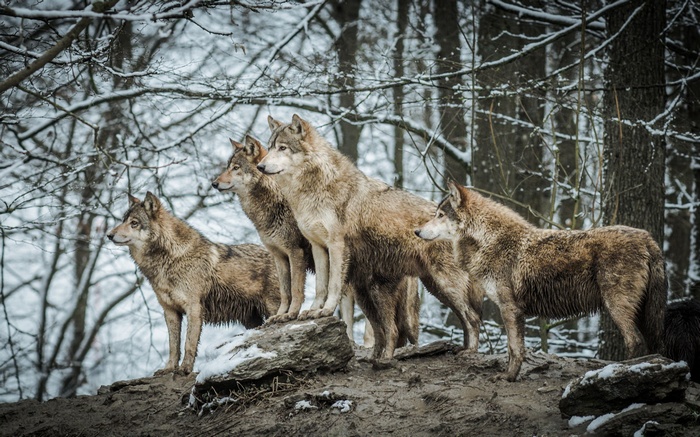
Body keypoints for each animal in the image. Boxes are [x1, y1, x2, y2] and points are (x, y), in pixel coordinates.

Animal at [107, 192, 280, 375]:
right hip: (250, 320)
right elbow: (173, 346)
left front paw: (185, 369)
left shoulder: (194, 308)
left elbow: (189, 343)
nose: (109, 235)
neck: (170, 259)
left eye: (134, 223)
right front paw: (169, 368)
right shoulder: (170, 312)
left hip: (272, 308)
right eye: (123, 220)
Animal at [212, 135, 420, 347]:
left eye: (236, 167)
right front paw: (279, 316)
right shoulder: (279, 256)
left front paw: (291, 315)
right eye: (228, 166)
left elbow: (295, 290)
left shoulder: (295, 253)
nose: (214, 184)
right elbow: (285, 292)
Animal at [257, 115, 482, 361]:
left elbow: (333, 285)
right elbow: (320, 286)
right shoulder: (318, 247)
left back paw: (470, 352)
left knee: (472, 318)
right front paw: (314, 311)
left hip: (444, 284)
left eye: (282, 148)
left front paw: (326, 310)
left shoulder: (336, 246)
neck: (312, 190)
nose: (260, 166)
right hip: (433, 288)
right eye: (269, 147)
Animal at [415, 181, 667, 381]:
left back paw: (617, 370)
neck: (488, 241)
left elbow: (515, 349)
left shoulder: (510, 308)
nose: (416, 232)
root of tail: (648, 238)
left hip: (617, 307)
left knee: (634, 341)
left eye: (440, 215)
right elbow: (514, 347)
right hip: (640, 312)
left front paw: (508, 377)